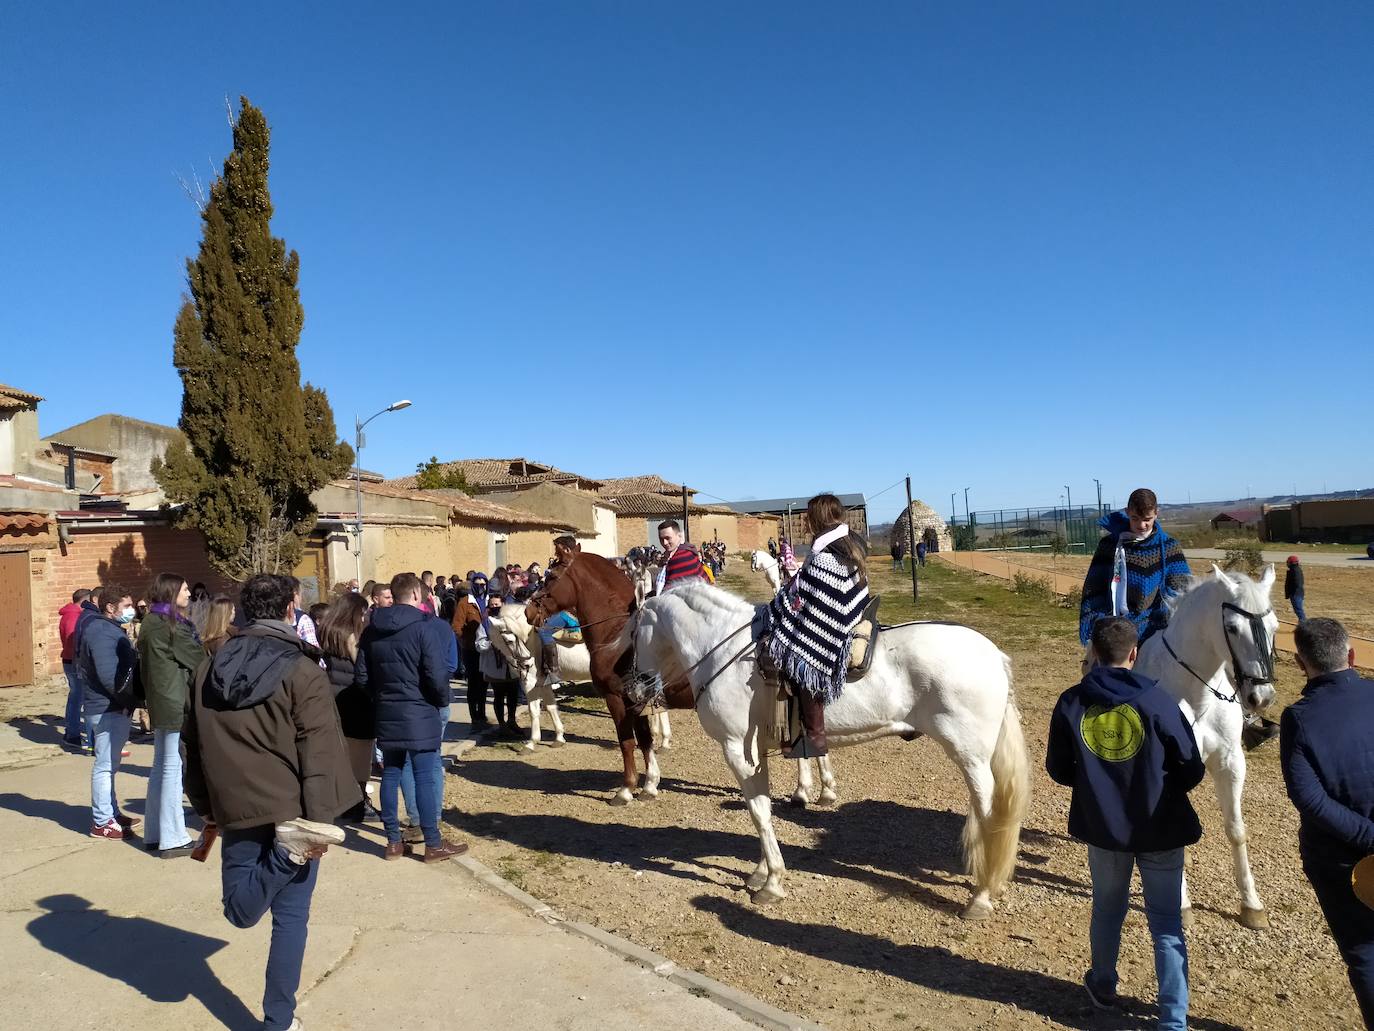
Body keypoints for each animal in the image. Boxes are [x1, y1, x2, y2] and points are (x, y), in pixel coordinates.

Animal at [522, 552, 687, 802]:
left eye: (551, 577)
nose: (528, 611)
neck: (616, 635)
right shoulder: (636, 703)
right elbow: (644, 739)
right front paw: (649, 785)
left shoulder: (616, 698)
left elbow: (626, 741)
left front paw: (626, 789)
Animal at [629, 582, 1027, 918]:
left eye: (632, 632)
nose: (633, 688)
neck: (726, 652)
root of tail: (993, 654)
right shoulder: (756, 753)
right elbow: (762, 809)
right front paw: (761, 872)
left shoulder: (738, 752)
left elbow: (758, 812)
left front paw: (772, 882)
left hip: (970, 756)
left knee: (988, 812)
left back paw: (980, 896)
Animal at [1132, 569, 1280, 934]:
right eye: (1233, 628)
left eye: (1274, 626)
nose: (1262, 697)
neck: (1193, 695)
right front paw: (1181, 904)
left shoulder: (1230, 764)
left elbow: (1237, 830)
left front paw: (1251, 904)